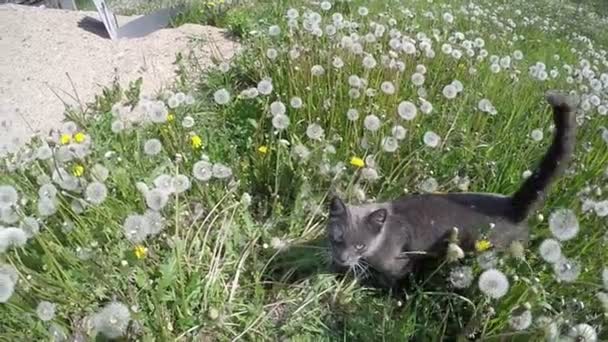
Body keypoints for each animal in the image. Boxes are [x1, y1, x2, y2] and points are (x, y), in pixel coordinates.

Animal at [328, 89, 580, 288]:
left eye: (360, 245)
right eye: (337, 238)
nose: (342, 258)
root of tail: (512, 204)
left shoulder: (399, 264)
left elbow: (391, 280)